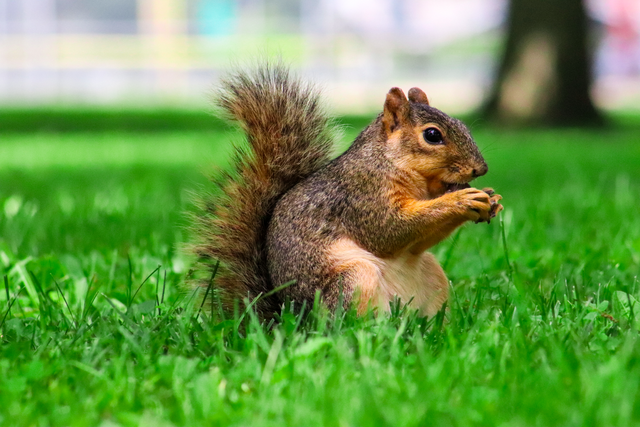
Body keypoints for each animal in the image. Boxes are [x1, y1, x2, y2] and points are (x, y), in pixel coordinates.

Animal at [189, 63, 503, 319]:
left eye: (462, 124)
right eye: (433, 135)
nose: (481, 169)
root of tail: (288, 321)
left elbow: (415, 240)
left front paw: (491, 199)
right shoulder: (361, 196)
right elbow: (389, 230)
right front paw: (460, 200)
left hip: (433, 276)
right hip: (354, 279)